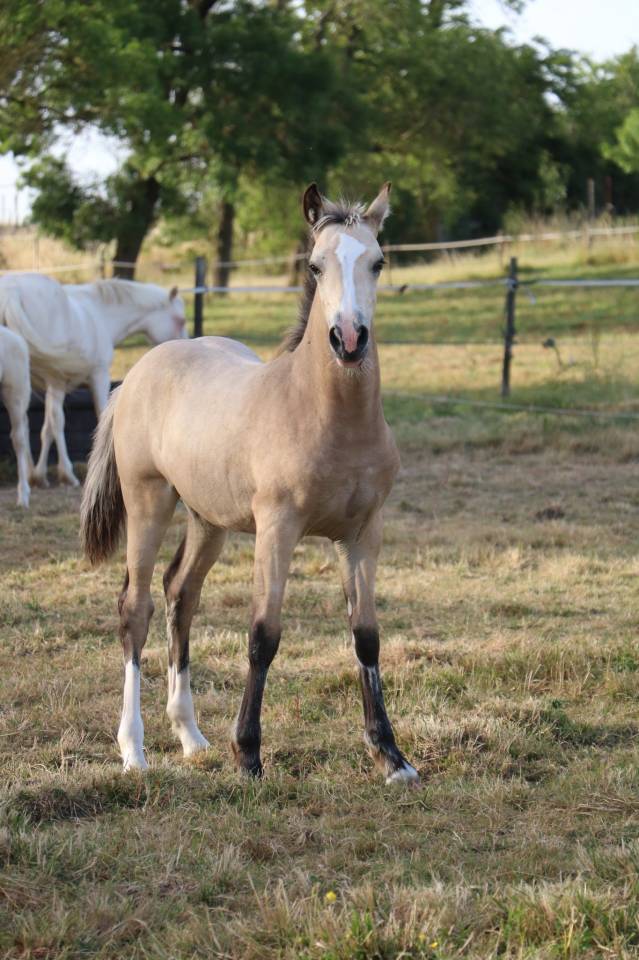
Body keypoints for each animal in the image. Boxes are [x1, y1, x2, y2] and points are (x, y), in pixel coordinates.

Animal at [0, 275, 188, 487]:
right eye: (181, 321)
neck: (100, 314)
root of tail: (11, 291)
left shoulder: (55, 383)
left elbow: (48, 426)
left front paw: (40, 475)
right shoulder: (94, 376)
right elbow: (86, 416)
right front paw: (66, 473)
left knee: (24, 423)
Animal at [80, 182, 419, 785]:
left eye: (378, 262)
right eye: (315, 265)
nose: (349, 339)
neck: (322, 415)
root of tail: (137, 373)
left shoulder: (363, 534)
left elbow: (367, 636)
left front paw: (390, 755)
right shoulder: (277, 530)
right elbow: (264, 635)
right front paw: (249, 754)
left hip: (207, 519)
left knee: (180, 593)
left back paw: (191, 736)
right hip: (148, 502)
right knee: (136, 607)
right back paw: (134, 750)